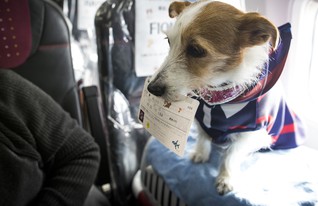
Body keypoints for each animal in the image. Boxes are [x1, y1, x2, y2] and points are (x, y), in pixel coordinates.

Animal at [147, 0, 306, 196]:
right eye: (169, 41)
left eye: (196, 50)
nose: (151, 88)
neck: (218, 97)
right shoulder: (201, 119)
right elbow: (203, 137)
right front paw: (200, 153)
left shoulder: (252, 132)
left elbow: (232, 153)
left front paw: (226, 178)